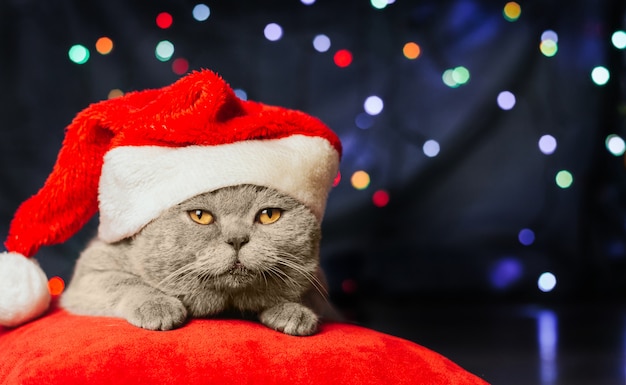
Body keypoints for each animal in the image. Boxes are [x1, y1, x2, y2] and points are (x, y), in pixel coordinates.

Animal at [61, 184, 336, 334]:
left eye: (269, 215)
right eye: (200, 216)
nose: (237, 239)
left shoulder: (319, 282)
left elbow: (309, 295)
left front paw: (292, 311)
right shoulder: (90, 271)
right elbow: (125, 281)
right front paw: (158, 306)